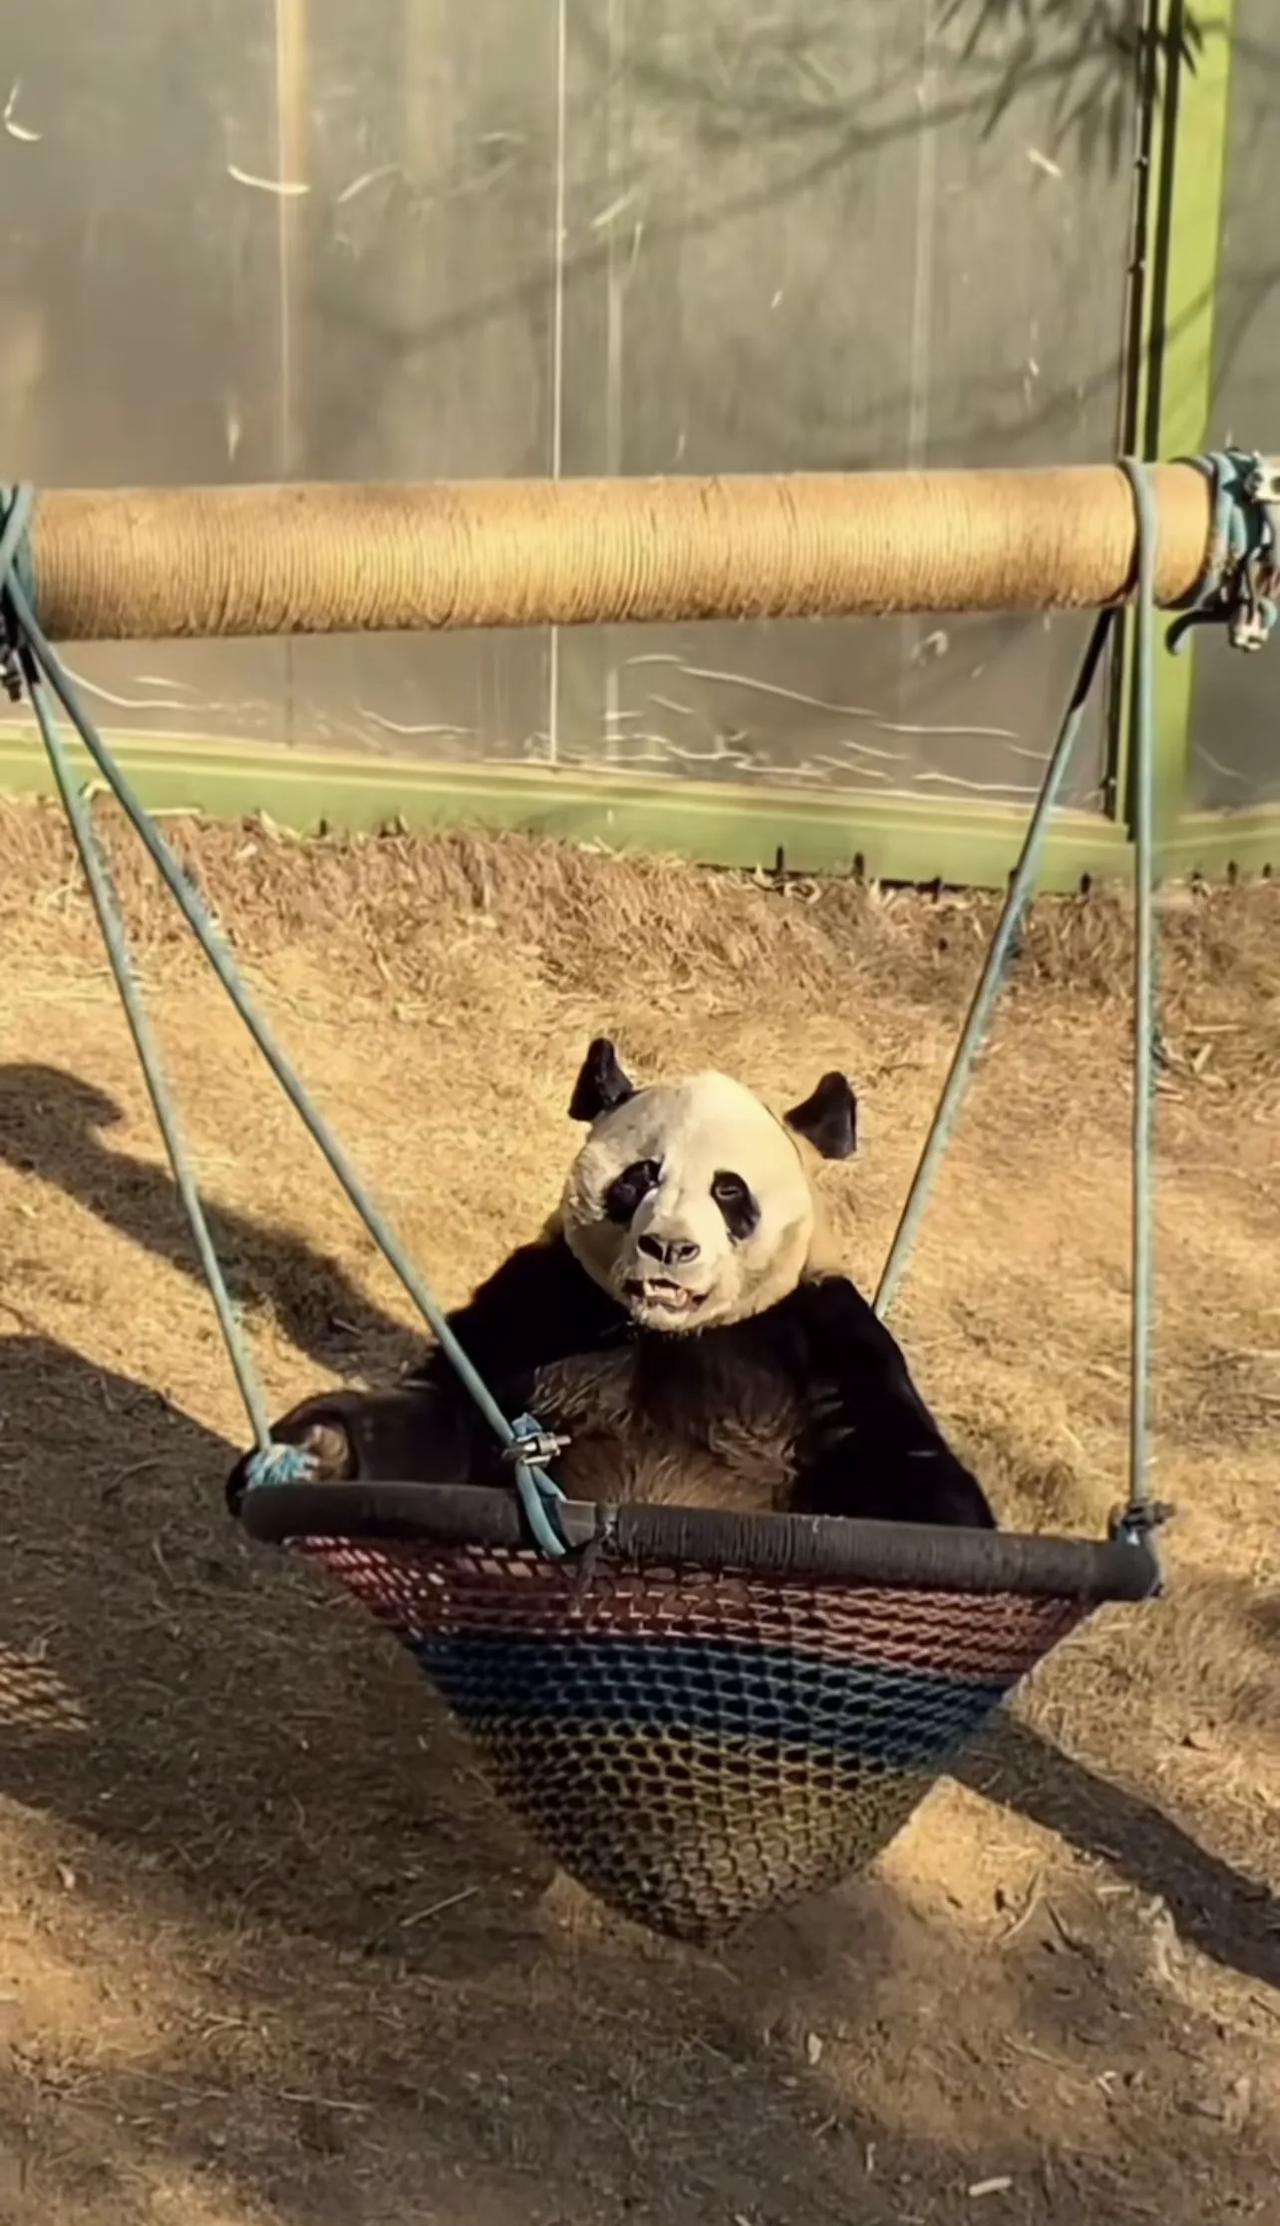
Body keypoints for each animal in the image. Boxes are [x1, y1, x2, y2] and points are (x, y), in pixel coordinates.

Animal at [224, 1037, 997, 1531]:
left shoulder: (814, 1330)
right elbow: (452, 1410)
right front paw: (314, 1450)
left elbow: (896, 1457)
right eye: (640, 1177)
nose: (669, 1246)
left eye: (728, 1191)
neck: (662, 1331)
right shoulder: (544, 1296)